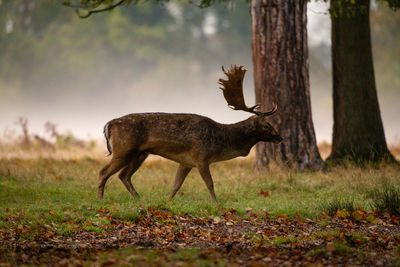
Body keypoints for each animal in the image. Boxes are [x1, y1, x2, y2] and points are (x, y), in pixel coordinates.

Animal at [98, 66, 282, 202]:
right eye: (266, 125)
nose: (280, 137)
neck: (221, 140)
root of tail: (109, 124)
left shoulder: (186, 162)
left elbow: (176, 184)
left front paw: (168, 201)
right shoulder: (201, 157)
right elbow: (210, 183)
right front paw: (215, 202)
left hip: (140, 153)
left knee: (124, 175)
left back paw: (138, 198)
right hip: (123, 149)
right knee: (104, 172)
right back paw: (100, 199)